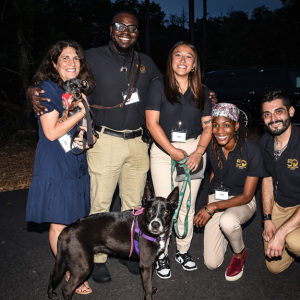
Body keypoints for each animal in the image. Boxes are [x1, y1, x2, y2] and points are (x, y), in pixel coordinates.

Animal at [47, 182, 178, 298]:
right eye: (150, 210)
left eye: (166, 212)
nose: (155, 224)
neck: (146, 225)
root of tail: (68, 228)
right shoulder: (146, 264)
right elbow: (148, 289)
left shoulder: (151, 262)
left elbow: (149, 284)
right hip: (83, 266)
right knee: (67, 289)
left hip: (65, 261)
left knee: (52, 275)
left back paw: (50, 294)